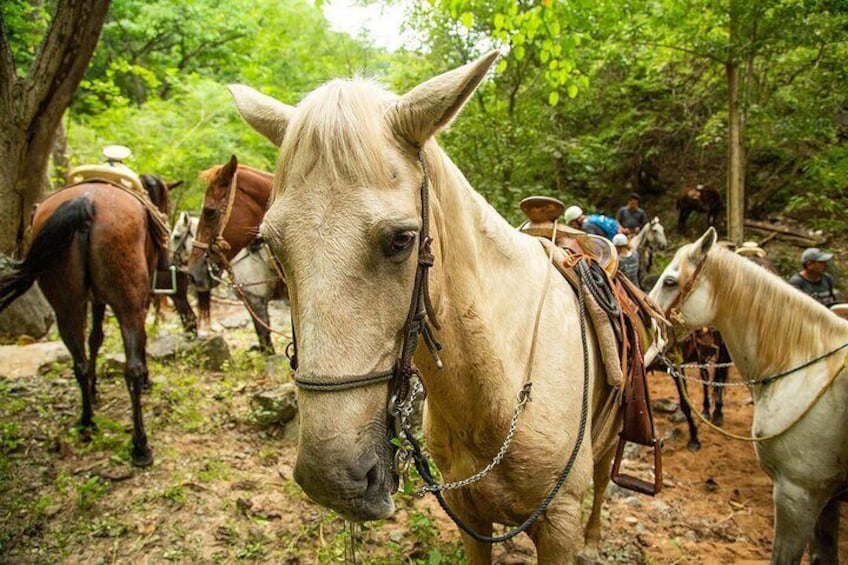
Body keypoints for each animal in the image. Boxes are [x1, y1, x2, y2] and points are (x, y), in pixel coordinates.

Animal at [0, 178, 174, 464]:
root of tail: (86, 202)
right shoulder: (138, 298)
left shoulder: (94, 299)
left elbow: (95, 338)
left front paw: (94, 389)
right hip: (127, 303)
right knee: (132, 369)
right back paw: (140, 445)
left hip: (66, 305)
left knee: (78, 362)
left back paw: (86, 420)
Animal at [229, 50, 620, 560]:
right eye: (273, 246)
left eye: (401, 239)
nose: (330, 480)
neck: (501, 391)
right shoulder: (471, 519)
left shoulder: (559, 524)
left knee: (606, 476)